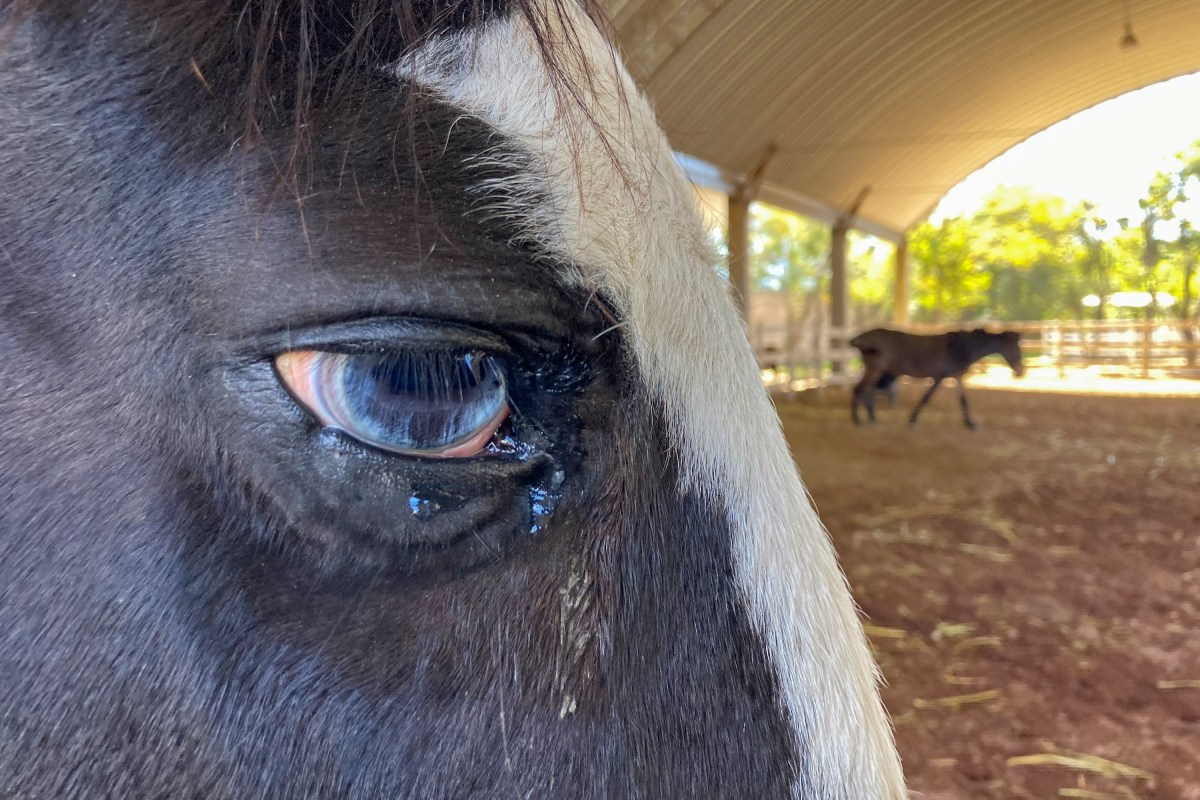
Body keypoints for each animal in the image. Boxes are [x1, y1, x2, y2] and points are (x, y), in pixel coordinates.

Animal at [849, 326, 1027, 429]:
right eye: (1016, 349)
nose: (1020, 372)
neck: (961, 347)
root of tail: (860, 338)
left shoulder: (957, 377)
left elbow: (963, 400)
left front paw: (969, 423)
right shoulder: (939, 377)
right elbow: (926, 398)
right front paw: (912, 419)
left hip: (875, 371)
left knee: (867, 391)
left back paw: (871, 417)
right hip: (875, 370)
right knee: (860, 390)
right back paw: (857, 420)